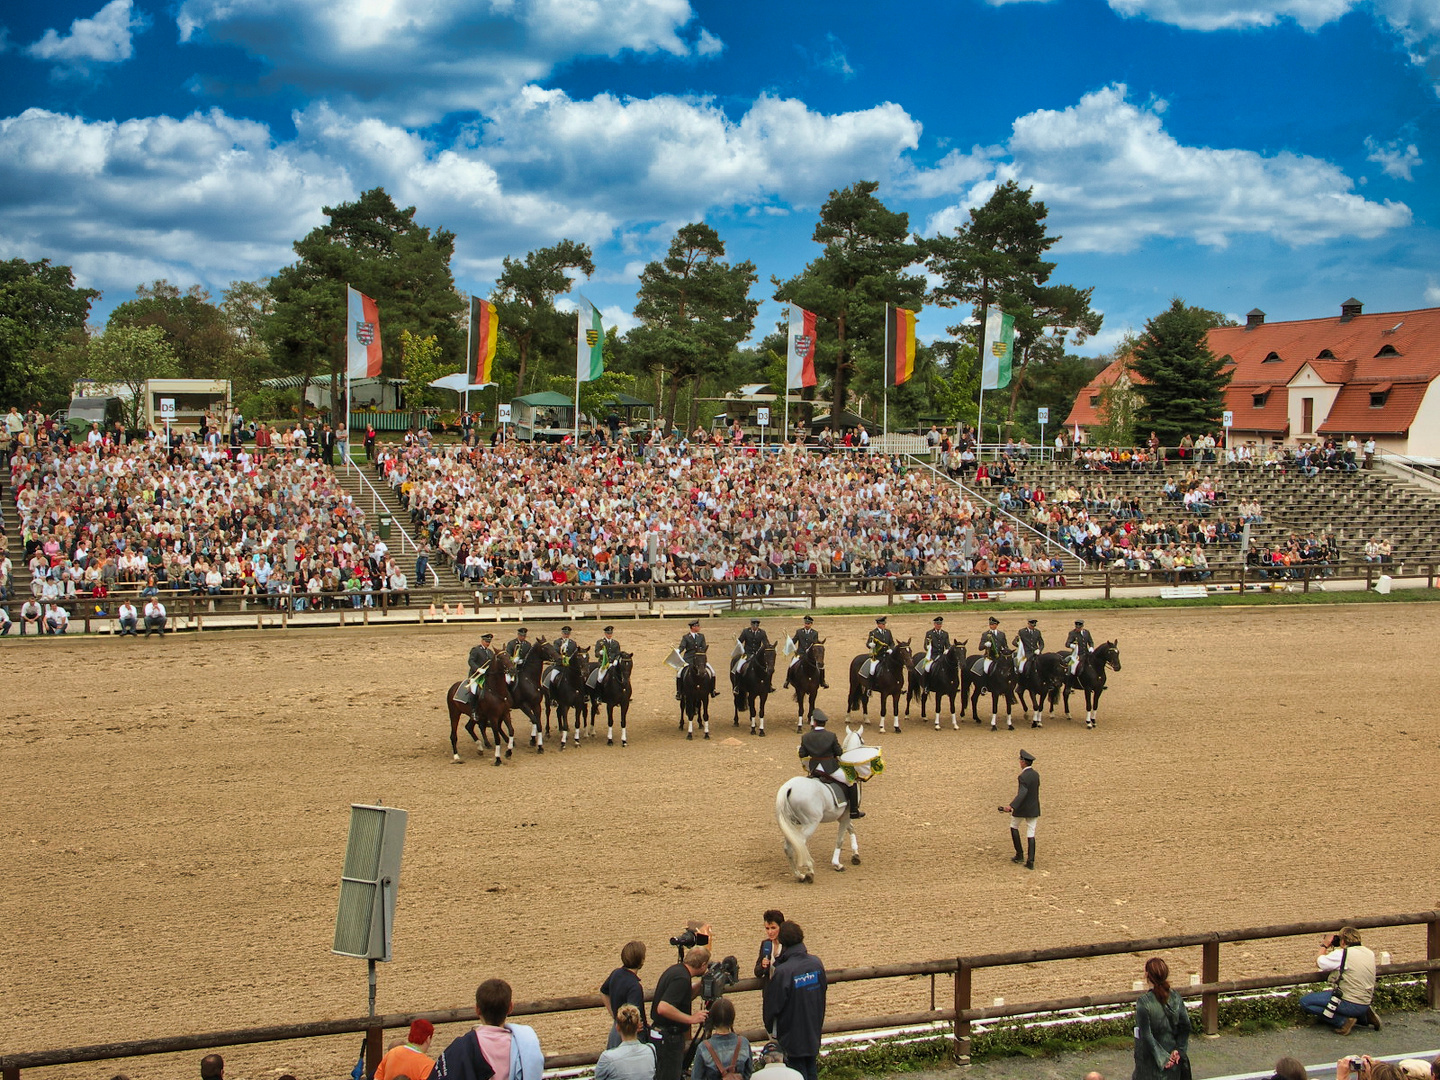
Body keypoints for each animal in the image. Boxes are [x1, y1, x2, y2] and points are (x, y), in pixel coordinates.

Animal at [777, 722, 864, 881]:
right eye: (862, 742)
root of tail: (789, 787)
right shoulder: (846, 815)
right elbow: (840, 839)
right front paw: (837, 864)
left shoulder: (843, 816)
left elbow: (851, 829)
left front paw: (855, 855)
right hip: (811, 822)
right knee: (800, 843)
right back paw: (810, 872)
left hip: (791, 823)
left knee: (789, 847)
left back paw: (799, 875)